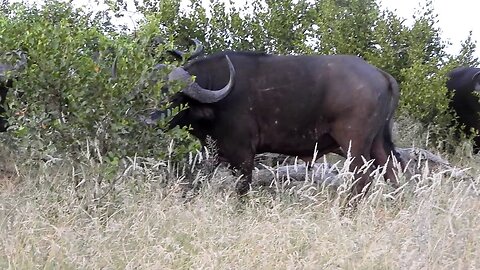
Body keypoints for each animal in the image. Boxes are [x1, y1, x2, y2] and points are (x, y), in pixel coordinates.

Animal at [145, 49, 402, 197]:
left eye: (175, 96)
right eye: (148, 88)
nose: (149, 119)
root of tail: (381, 74)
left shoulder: (243, 155)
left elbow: (242, 189)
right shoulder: (215, 153)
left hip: (354, 145)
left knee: (362, 179)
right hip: (379, 144)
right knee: (394, 173)